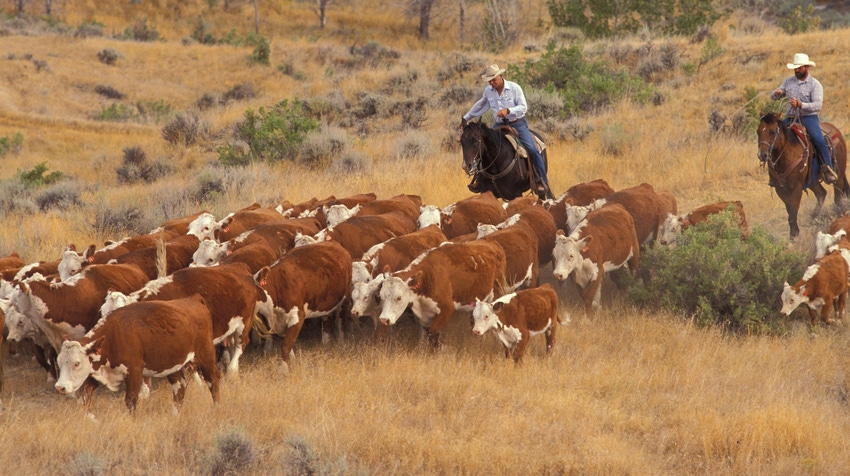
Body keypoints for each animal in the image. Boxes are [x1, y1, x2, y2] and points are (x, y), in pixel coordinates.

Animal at [53, 296, 219, 414]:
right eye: (59, 363)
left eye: (76, 363)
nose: (60, 387)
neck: (113, 336)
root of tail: (194, 299)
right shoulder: (98, 371)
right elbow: (85, 398)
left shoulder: (134, 371)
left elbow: (131, 400)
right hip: (172, 366)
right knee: (179, 387)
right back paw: (175, 415)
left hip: (206, 357)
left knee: (213, 382)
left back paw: (216, 409)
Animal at [376, 240, 504, 348]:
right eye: (381, 297)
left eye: (399, 298)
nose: (383, 320)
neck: (427, 278)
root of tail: (492, 243)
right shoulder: (424, 317)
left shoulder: (447, 309)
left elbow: (433, 334)